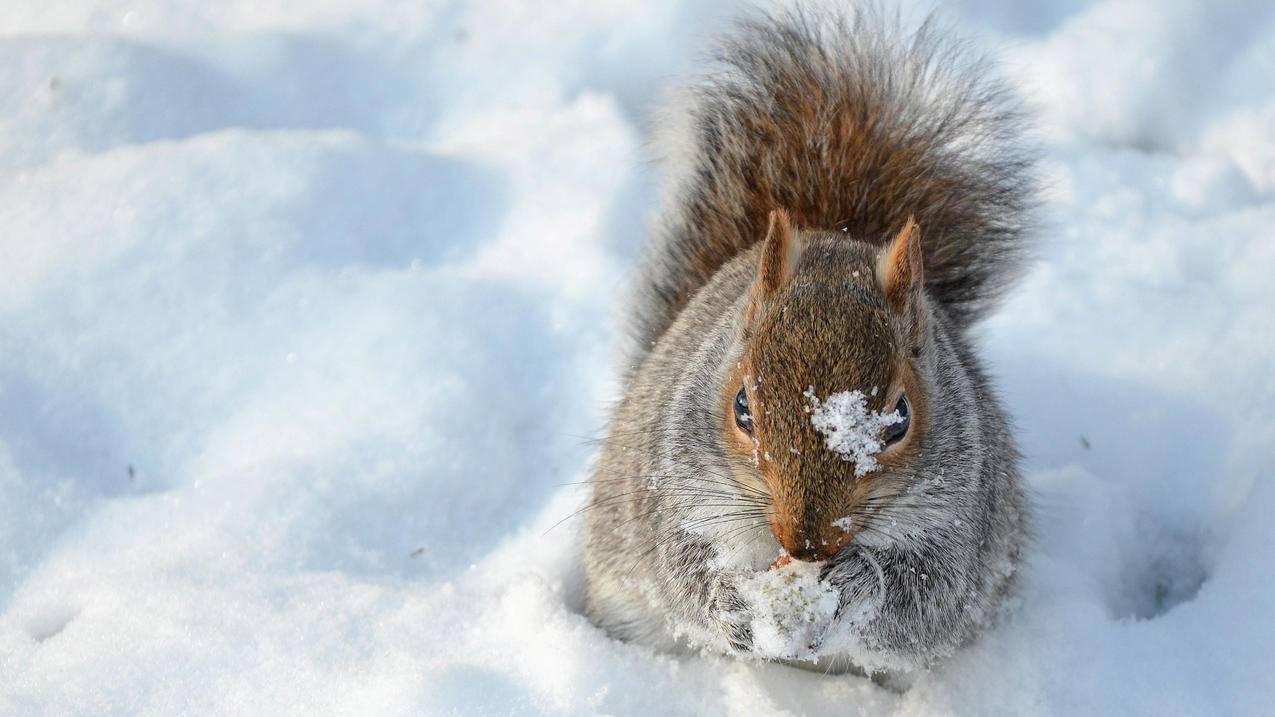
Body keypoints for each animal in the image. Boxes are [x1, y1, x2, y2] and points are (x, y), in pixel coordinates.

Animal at [583, 8, 1030, 673]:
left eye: (900, 419)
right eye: (743, 408)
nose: (809, 542)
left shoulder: (957, 521)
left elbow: (923, 597)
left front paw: (858, 586)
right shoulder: (673, 496)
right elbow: (683, 570)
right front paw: (732, 607)